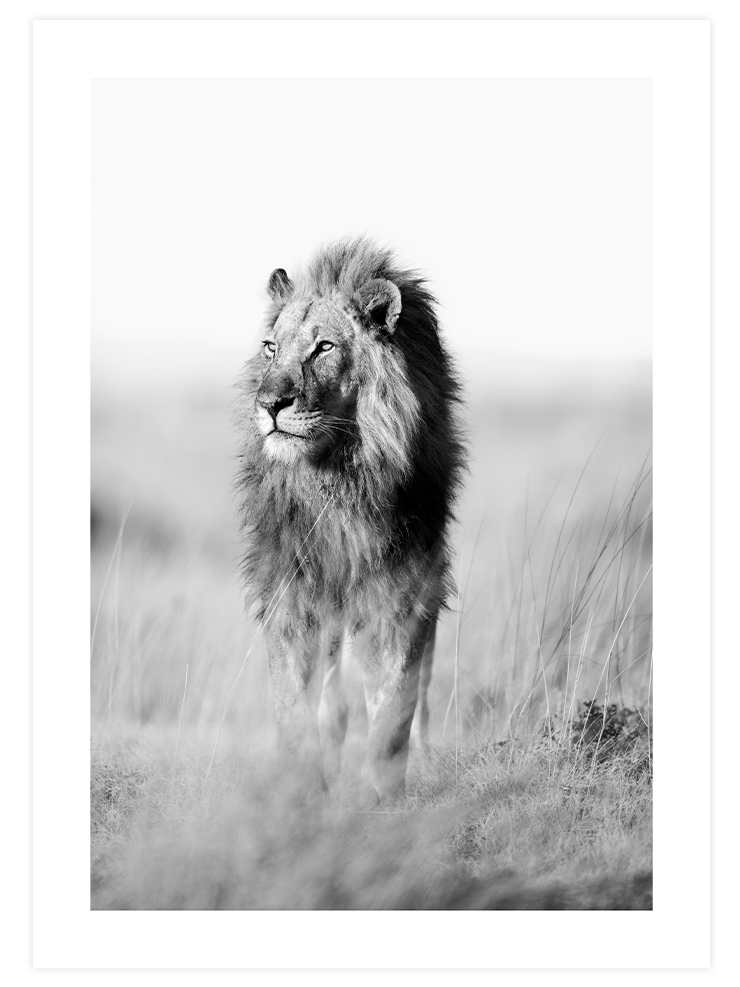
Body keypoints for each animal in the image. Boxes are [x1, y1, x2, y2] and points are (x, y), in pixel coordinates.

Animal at [236, 236, 465, 800]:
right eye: (271, 347)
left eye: (324, 348)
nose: (270, 403)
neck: (337, 480)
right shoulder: (288, 592)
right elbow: (294, 707)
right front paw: (303, 790)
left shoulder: (405, 593)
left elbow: (394, 710)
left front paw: (383, 796)